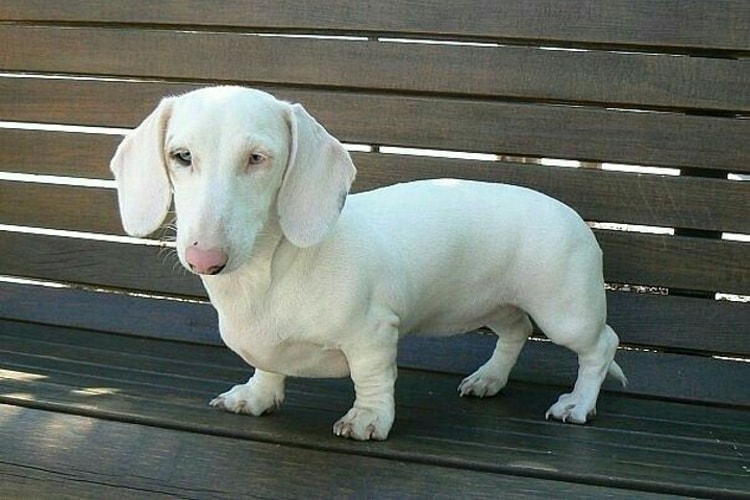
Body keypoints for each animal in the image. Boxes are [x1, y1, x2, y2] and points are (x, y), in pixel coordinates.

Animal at [110, 87, 628, 442]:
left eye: (257, 158)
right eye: (181, 156)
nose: (205, 258)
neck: (271, 272)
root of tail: (573, 216)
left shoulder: (373, 333)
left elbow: (371, 378)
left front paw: (368, 419)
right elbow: (267, 368)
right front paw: (255, 397)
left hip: (565, 311)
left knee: (601, 346)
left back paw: (578, 403)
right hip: (494, 305)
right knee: (516, 331)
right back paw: (489, 379)